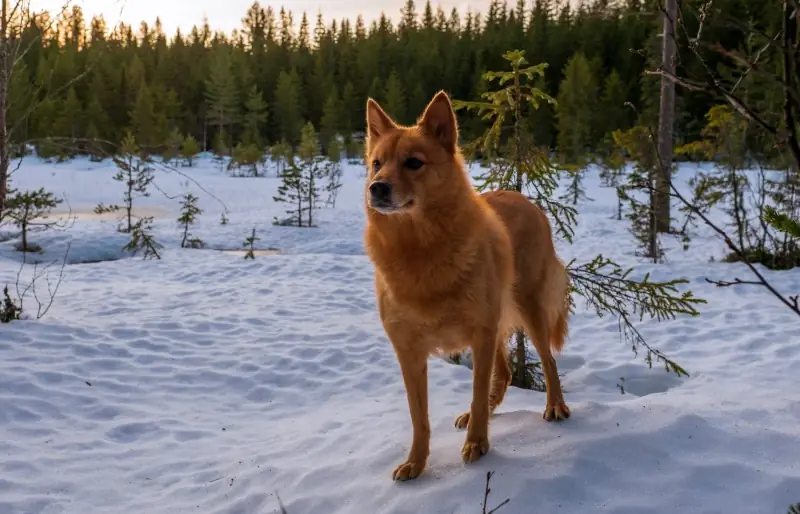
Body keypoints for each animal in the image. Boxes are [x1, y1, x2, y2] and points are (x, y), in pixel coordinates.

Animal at [360, 90, 572, 478]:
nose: (376, 188)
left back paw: (555, 407)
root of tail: (525, 199)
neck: (420, 251)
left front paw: (477, 444)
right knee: (505, 373)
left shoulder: (480, 333)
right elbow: (419, 418)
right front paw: (416, 463)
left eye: (413, 163)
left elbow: (477, 390)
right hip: (497, 322)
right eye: (376, 163)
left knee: (548, 361)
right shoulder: (409, 352)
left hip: (528, 308)